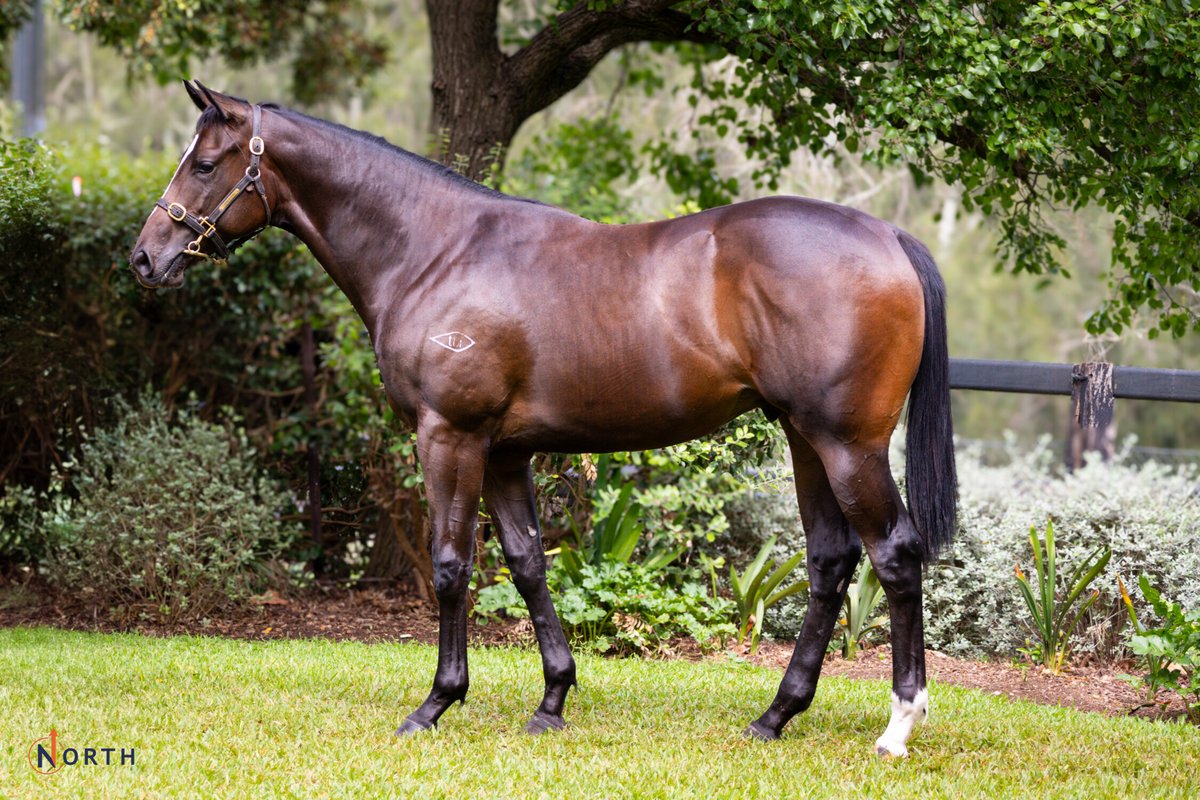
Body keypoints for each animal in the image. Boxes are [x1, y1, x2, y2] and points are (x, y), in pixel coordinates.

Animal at [131, 81, 956, 758]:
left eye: (205, 163)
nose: (145, 257)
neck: (434, 250)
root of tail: (888, 237)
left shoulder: (450, 435)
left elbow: (451, 566)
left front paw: (436, 703)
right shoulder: (503, 452)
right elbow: (528, 564)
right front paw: (553, 699)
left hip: (846, 444)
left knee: (893, 554)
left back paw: (897, 726)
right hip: (803, 437)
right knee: (830, 562)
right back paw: (775, 715)